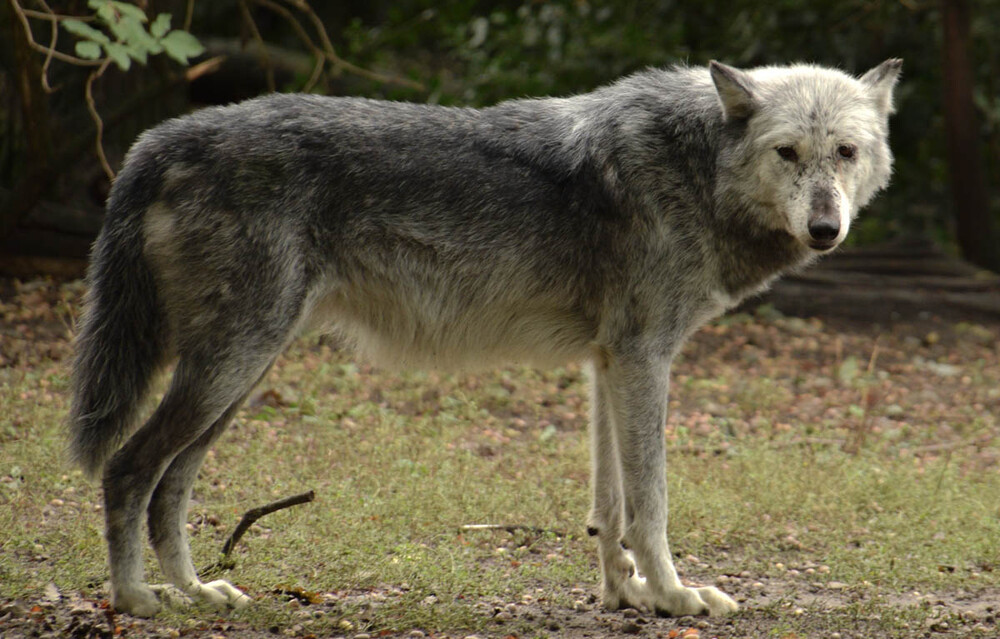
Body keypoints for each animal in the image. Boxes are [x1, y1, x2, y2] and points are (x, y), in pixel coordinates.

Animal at [68, 58, 900, 620]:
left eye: (846, 153)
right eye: (788, 152)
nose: (825, 228)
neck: (695, 163)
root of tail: (159, 138)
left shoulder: (608, 363)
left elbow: (611, 506)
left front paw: (624, 593)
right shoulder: (644, 359)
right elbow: (651, 501)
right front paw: (673, 594)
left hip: (237, 377)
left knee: (170, 483)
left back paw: (197, 590)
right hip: (230, 365)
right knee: (128, 468)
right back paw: (136, 598)